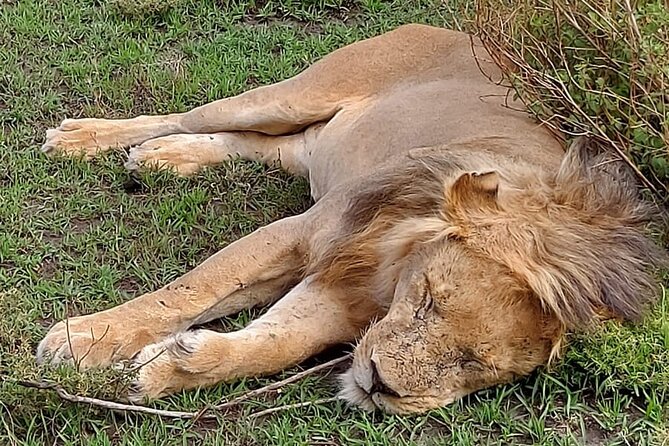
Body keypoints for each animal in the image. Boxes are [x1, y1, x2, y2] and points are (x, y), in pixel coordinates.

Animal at [36, 24, 664, 414]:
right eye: (429, 300)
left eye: (474, 362)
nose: (380, 385)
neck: (394, 272)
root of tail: (459, 32)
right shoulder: (308, 233)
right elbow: (189, 291)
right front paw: (85, 337)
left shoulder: (349, 298)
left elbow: (278, 343)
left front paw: (170, 367)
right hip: (292, 95)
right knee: (187, 116)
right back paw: (83, 139)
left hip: (311, 144)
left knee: (261, 146)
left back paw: (167, 158)